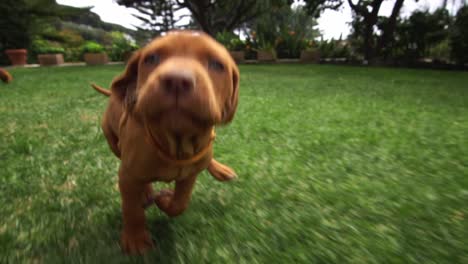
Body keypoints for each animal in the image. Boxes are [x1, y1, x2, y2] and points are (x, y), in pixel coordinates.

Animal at [91, 29, 239, 255]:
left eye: (216, 64)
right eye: (151, 58)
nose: (177, 80)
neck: (175, 143)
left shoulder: (189, 174)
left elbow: (180, 203)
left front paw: (164, 200)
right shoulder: (127, 174)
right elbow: (131, 208)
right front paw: (136, 240)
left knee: (207, 159)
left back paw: (219, 169)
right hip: (113, 142)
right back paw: (145, 193)